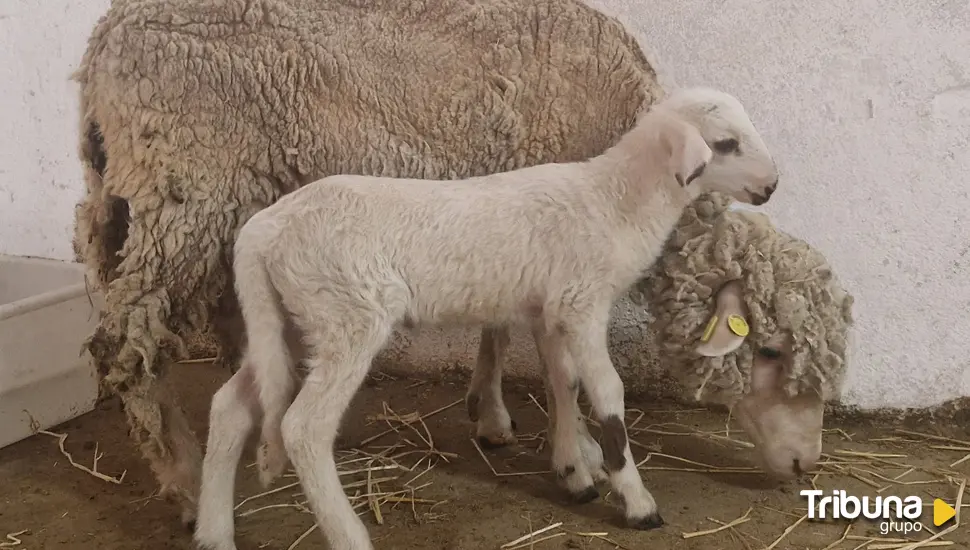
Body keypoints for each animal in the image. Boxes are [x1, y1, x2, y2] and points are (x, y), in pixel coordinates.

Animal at [73, 0, 664, 528]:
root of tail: (105, 36)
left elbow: (499, 328)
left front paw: (493, 415)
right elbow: (556, 361)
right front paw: (581, 454)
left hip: (137, 203)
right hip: (188, 192)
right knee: (125, 344)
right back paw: (185, 481)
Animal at [195, 87, 780, 550]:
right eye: (726, 143)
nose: (772, 187)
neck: (616, 200)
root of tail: (263, 230)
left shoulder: (550, 308)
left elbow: (562, 384)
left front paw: (574, 468)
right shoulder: (582, 302)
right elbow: (607, 394)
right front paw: (635, 500)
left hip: (290, 319)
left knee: (230, 406)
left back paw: (213, 533)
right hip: (347, 313)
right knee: (303, 427)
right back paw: (349, 535)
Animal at [462, 194, 848, 496]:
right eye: (770, 351)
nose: (806, 462)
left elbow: (501, 326)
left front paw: (490, 413)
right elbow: (559, 367)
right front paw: (580, 451)